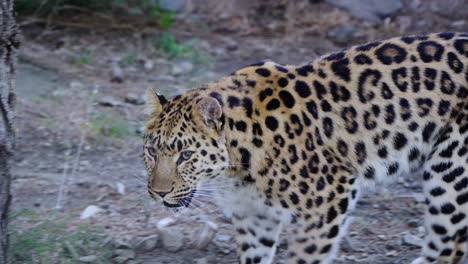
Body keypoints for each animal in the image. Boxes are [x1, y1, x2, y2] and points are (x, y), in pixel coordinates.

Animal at [143, 33, 468, 264]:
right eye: (152, 152)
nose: (158, 193)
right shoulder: (254, 216)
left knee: (447, 244)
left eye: (186, 155)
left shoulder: (330, 199)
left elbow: (306, 255)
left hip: (450, 172)